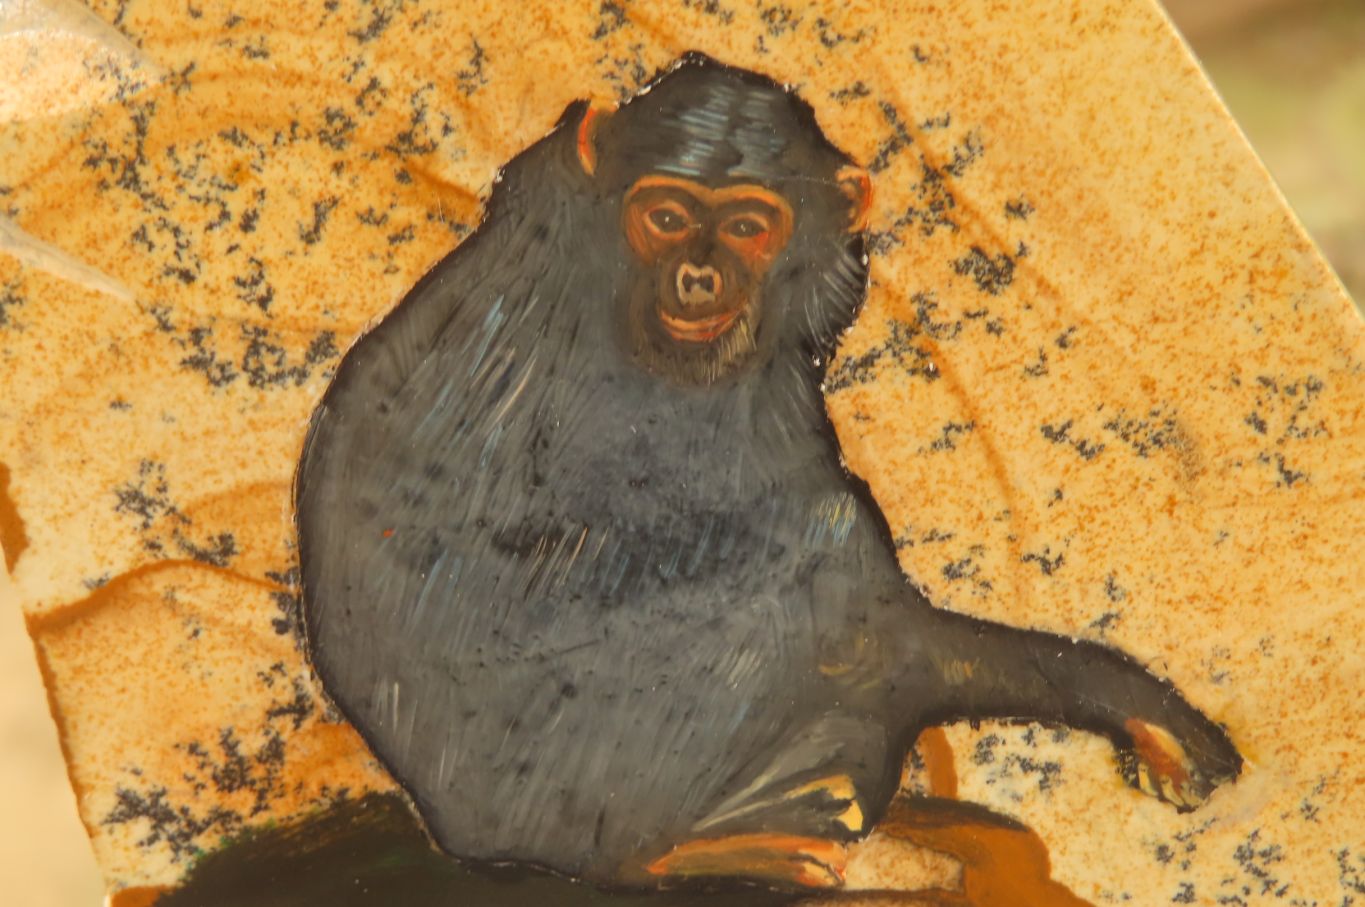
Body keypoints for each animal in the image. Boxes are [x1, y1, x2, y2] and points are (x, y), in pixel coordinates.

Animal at [295, 55, 1241, 895]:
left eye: (749, 226)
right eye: (665, 216)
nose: (698, 271)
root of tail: (462, 835)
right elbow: (858, 608)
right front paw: (1125, 697)